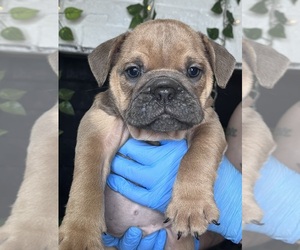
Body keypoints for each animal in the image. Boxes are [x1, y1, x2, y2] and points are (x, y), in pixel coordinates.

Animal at [58, 18, 236, 249]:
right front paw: (79, 236)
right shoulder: (97, 134)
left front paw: (191, 206)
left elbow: (197, 156)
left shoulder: (208, 124)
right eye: (133, 71)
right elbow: (87, 184)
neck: (153, 135)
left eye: (193, 71)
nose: (164, 89)